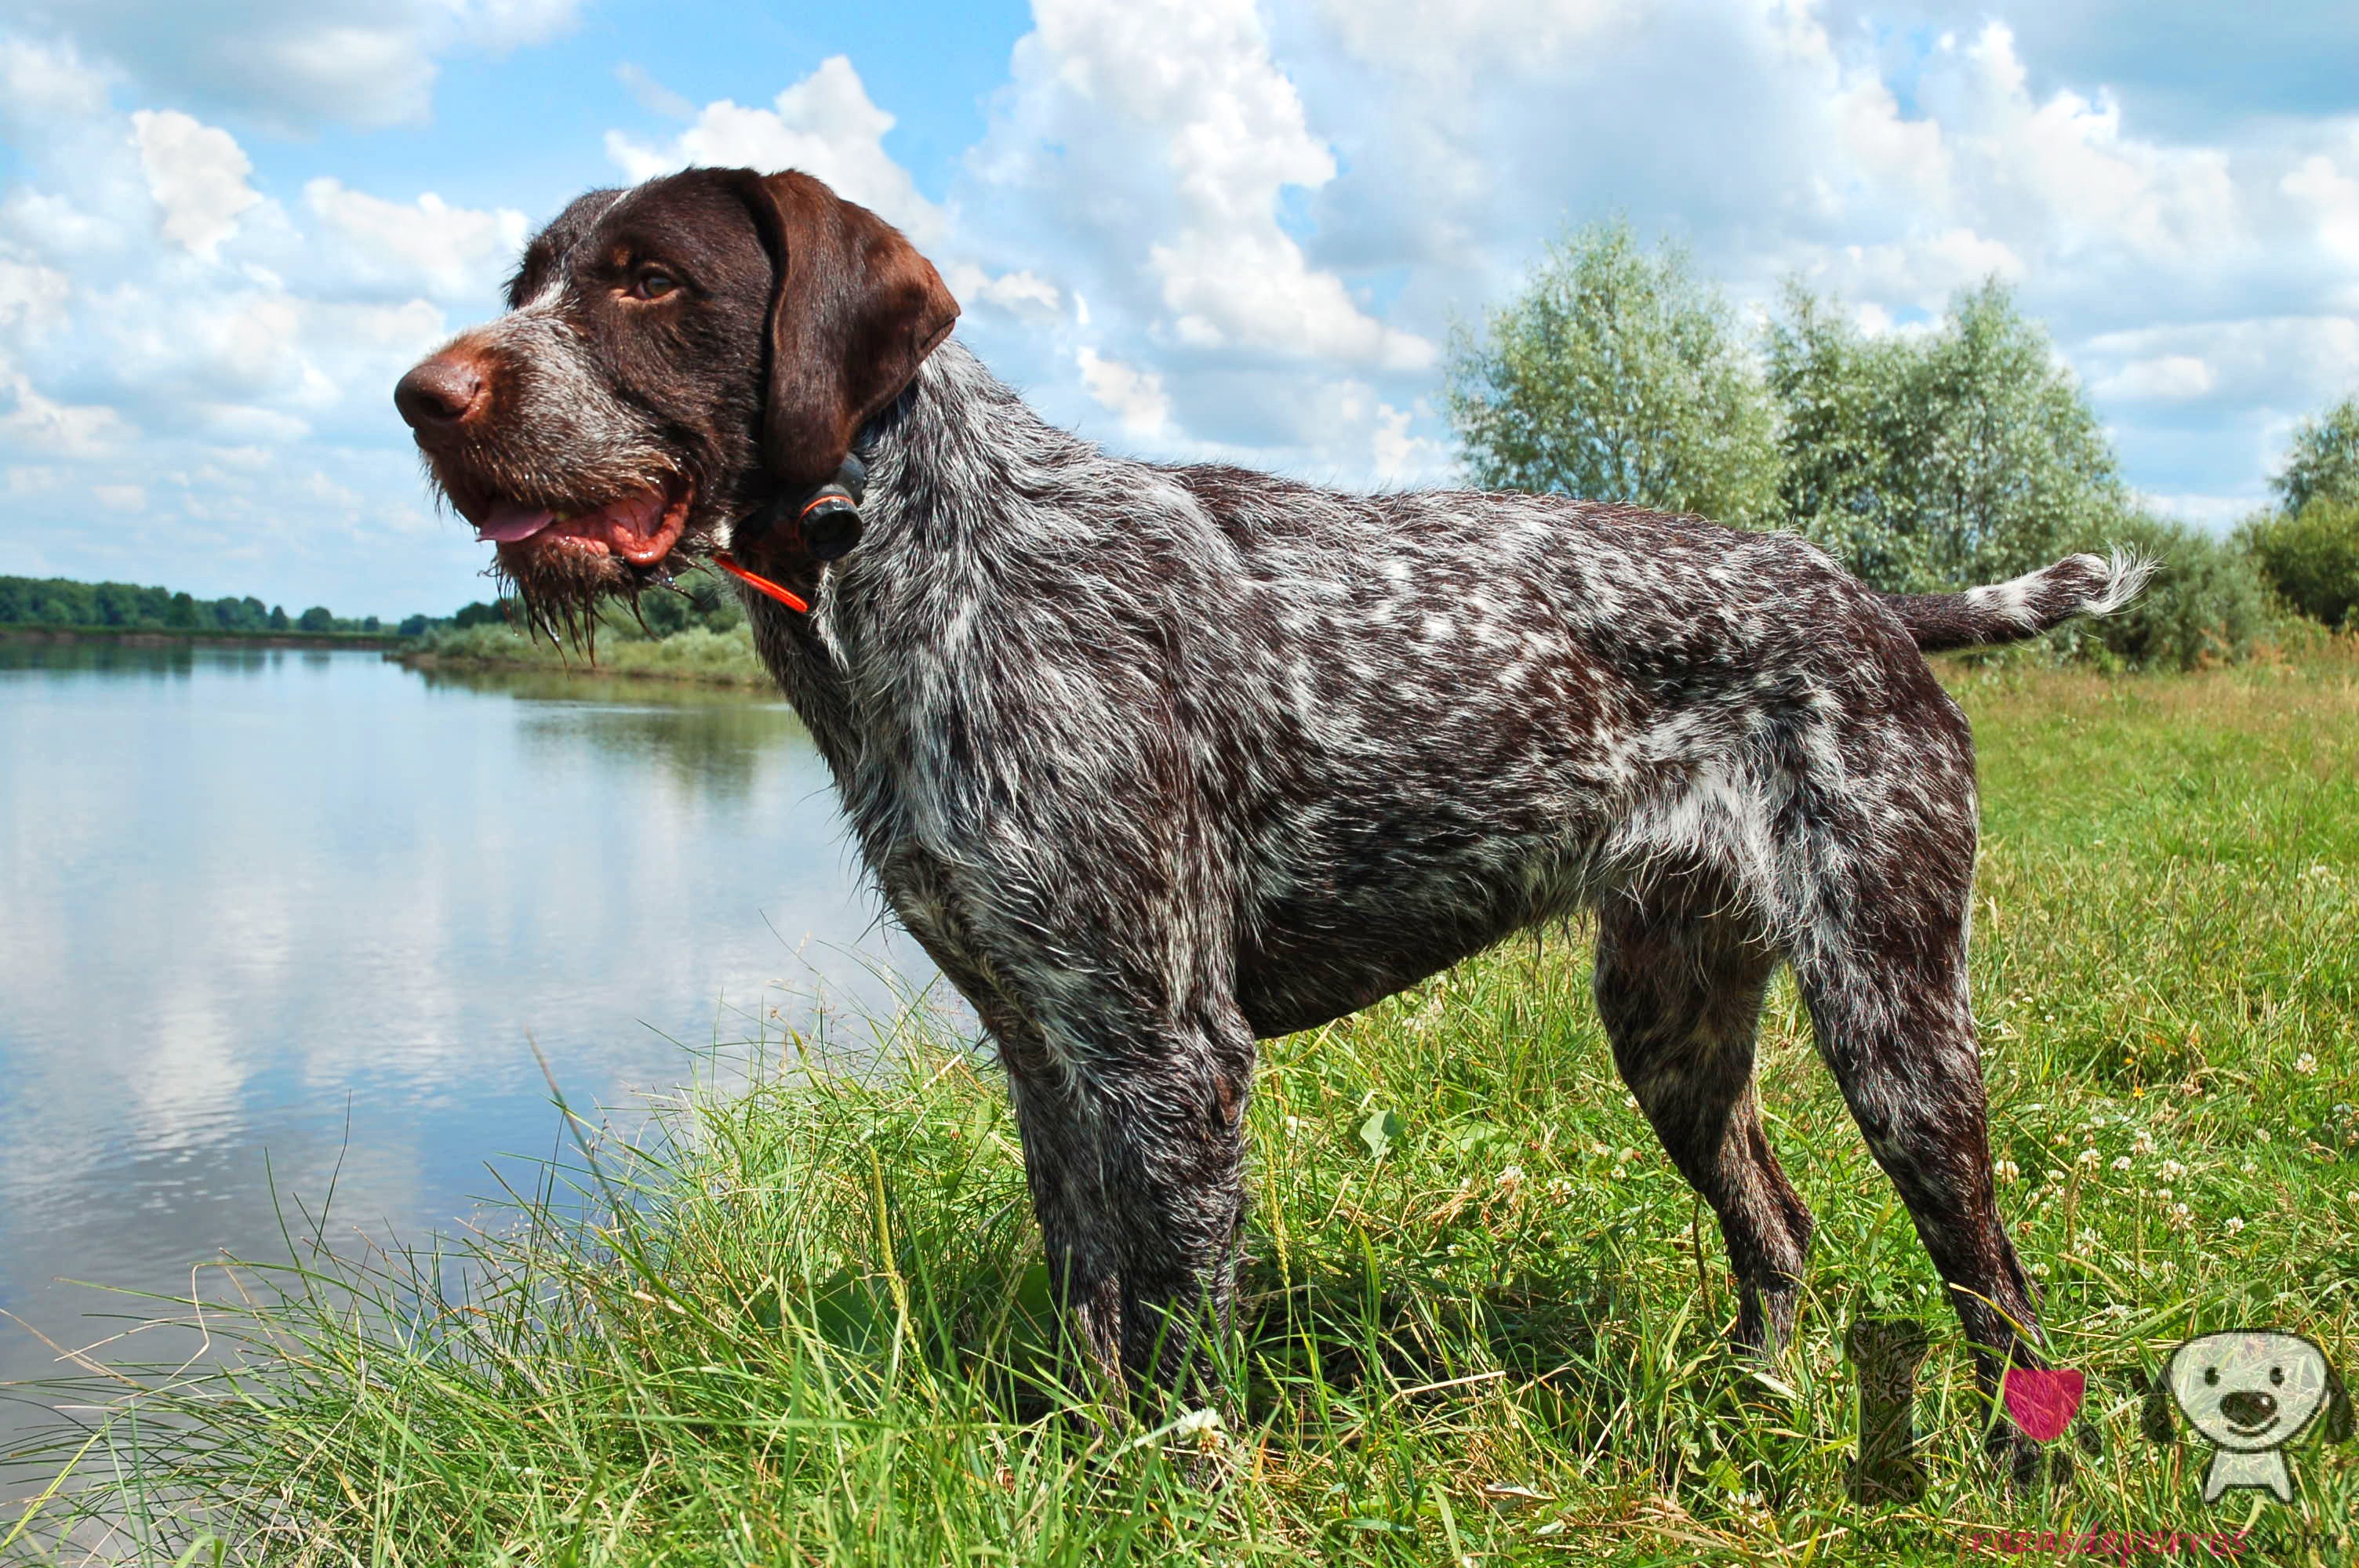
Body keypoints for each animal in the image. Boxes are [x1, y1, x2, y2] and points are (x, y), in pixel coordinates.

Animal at [396, 165, 2151, 1461]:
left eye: (648, 281)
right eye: (530, 278)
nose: (422, 394)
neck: (914, 560)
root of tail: (1869, 603)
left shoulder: (1170, 1054)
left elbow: (1178, 1346)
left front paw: (1170, 1489)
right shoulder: (1046, 1050)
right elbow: (1088, 1306)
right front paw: (1078, 1466)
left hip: (1893, 1018)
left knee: (1990, 1277)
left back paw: (2013, 1461)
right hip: (1669, 1021)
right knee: (1774, 1224)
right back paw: (1760, 1392)